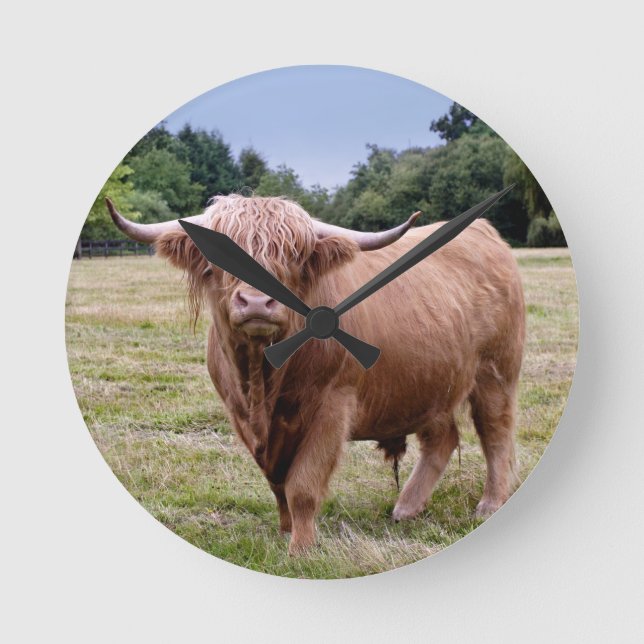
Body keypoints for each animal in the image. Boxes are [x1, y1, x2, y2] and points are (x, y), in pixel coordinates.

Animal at [107, 195, 525, 554]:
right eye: (218, 255)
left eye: (293, 254)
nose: (256, 302)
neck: (262, 381)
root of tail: (484, 231)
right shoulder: (241, 416)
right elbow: (277, 483)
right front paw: (285, 530)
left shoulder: (332, 407)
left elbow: (303, 484)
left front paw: (302, 548)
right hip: (430, 380)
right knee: (442, 438)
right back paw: (406, 507)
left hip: (495, 372)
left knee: (496, 433)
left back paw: (489, 503)